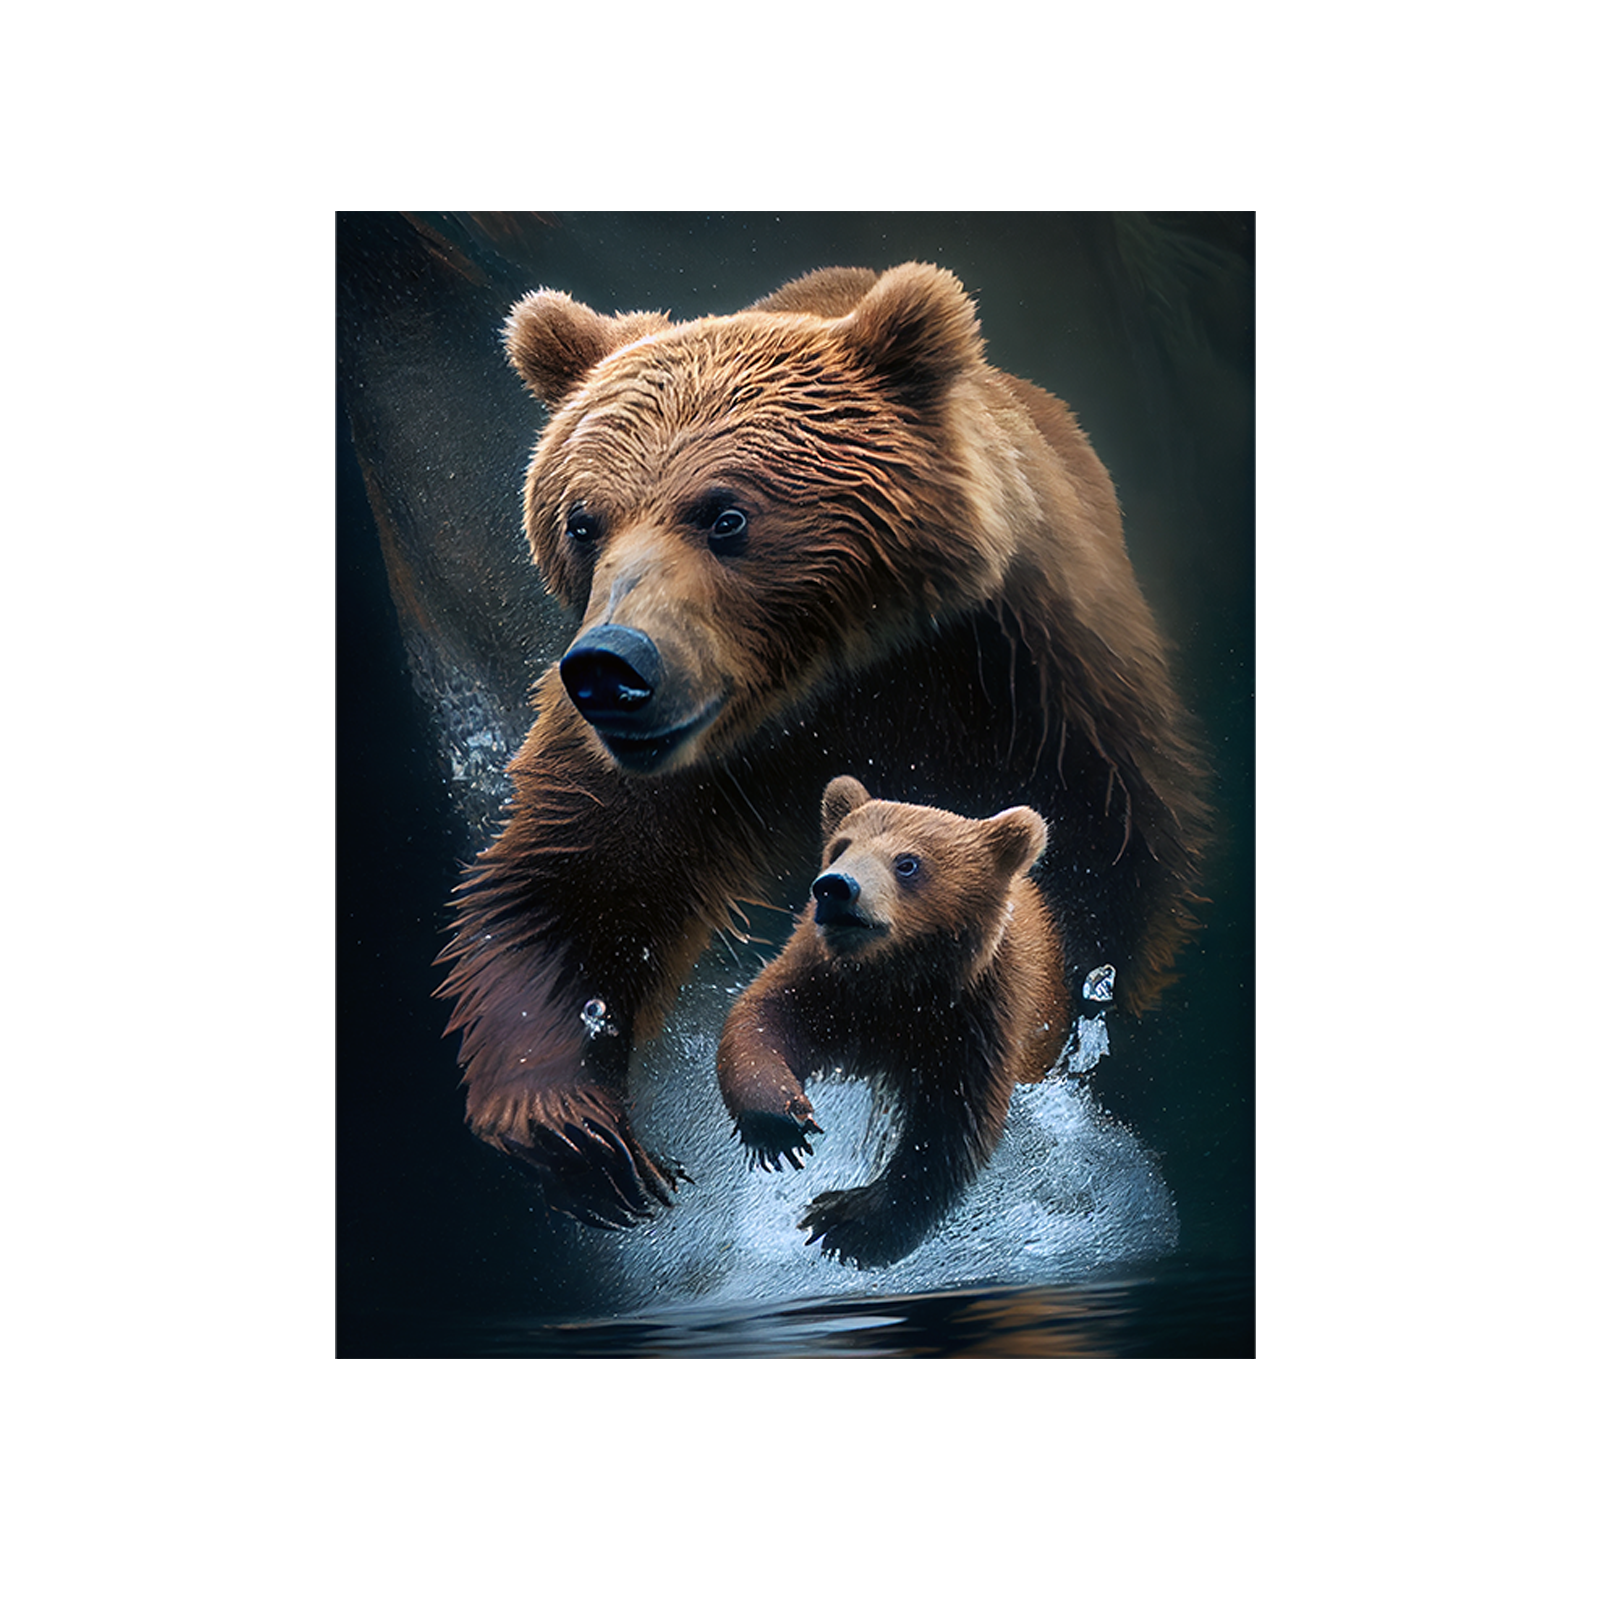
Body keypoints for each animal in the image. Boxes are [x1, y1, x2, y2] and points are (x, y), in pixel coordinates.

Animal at [719, 775, 1070, 1265]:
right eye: (840, 846)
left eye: (907, 863)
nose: (835, 887)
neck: (897, 980)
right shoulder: (824, 982)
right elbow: (762, 1021)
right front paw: (781, 1125)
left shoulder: (979, 1018)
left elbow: (950, 1128)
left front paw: (848, 1222)